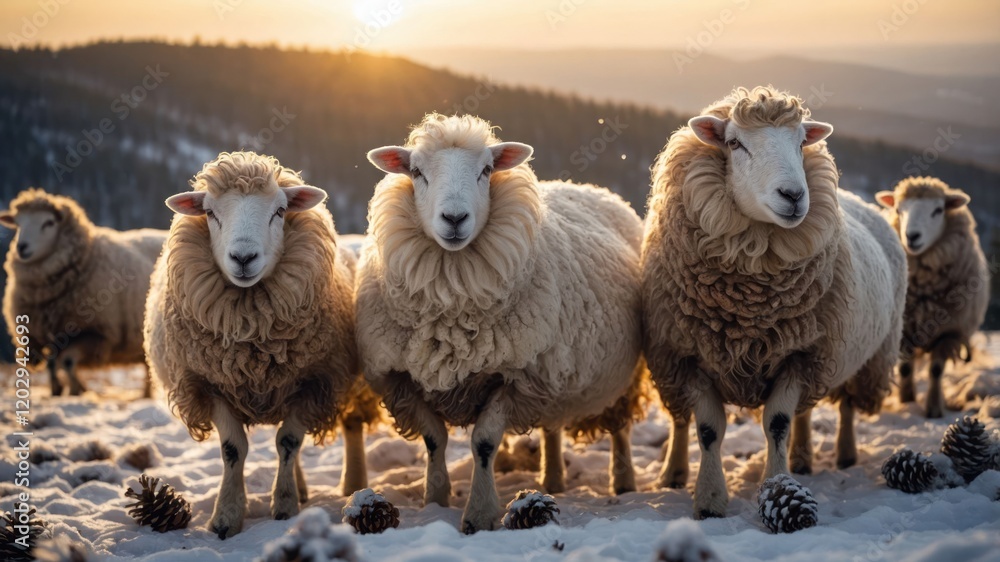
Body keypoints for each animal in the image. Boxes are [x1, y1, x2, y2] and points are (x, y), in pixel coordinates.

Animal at [1, 188, 166, 398]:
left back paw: (145, 395)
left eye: (49, 222)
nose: (21, 247)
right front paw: (57, 391)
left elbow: (67, 362)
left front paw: (77, 390)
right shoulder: (51, 334)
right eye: (18, 224)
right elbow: (52, 364)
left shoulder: (94, 332)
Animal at [144, 151, 379, 539]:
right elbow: (232, 449)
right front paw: (226, 516)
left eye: (280, 211)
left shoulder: (313, 382)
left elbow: (288, 442)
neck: (252, 337)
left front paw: (284, 506)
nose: (243, 258)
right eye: (210, 212)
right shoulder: (208, 384)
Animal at [357, 113, 646, 534]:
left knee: (620, 427)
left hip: (616, 373)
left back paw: (623, 482)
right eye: (416, 172)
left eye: (486, 170)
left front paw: (479, 513)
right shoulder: (399, 378)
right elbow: (433, 438)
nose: (455, 218)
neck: (453, 303)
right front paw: (435, 499)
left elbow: (484, 443)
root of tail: (589, 188)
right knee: (552, 425)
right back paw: (553, 479)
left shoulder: (517, 375)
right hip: (554, 370)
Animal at [641, 86, 907, 519]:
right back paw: (674, 473)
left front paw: (779, 484)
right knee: (680, 420)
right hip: (669, 362)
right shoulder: (688, 354)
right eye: (735, 143)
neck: (749, 305)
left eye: (800, 143)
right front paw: (709, 499)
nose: (794, 195)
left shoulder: (802, 353)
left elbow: (778, 423)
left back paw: (836, 456)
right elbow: (708, 429)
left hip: (859, 355)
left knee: (841, 407)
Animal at [876, 177, 990, 418]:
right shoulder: (905, 329)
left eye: (938, 210)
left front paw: (934, 408)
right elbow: (905, 367)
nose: (912, 236)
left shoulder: (949, 333)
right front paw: (906, 400)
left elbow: (936, 370)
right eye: (898, 210)